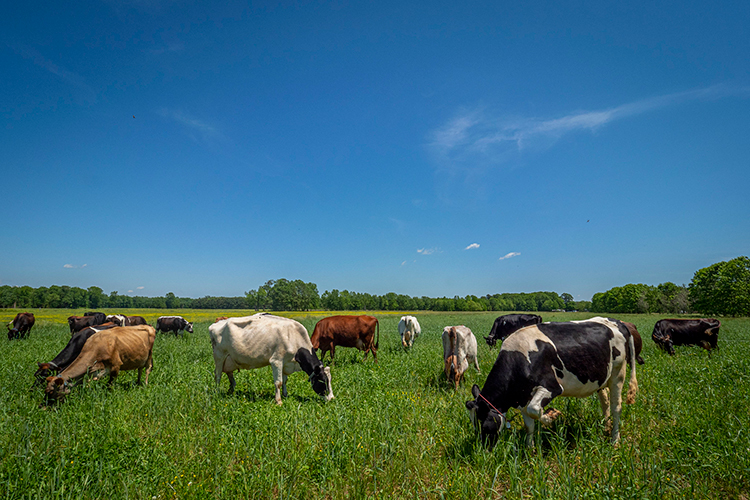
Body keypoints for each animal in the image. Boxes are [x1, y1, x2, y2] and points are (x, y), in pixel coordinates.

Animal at [468, 318, 636, 452]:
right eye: (473, 426)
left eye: (485, 426)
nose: (485, 451)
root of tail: (617, 322)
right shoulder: (522, 396)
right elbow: (529, 424)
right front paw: (530, 449)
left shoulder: (551, 387)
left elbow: (534, 410)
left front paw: (552, 416)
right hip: (602, 378)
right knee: (605, 402)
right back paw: (606, 428)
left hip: (618, 374)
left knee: (616, 407)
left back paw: (614, 440)